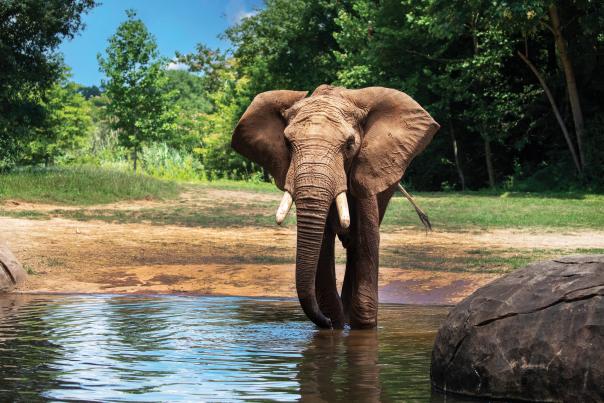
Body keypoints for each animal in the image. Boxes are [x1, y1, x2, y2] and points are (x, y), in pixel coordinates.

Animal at [231, 84, 438, 328]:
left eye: (349, 144)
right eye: (287, 144)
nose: (326, 322)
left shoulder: (366, 171)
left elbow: (367, 239)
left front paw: (361, 326)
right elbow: (322, 243)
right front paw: (335, 323)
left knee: (356, 246)